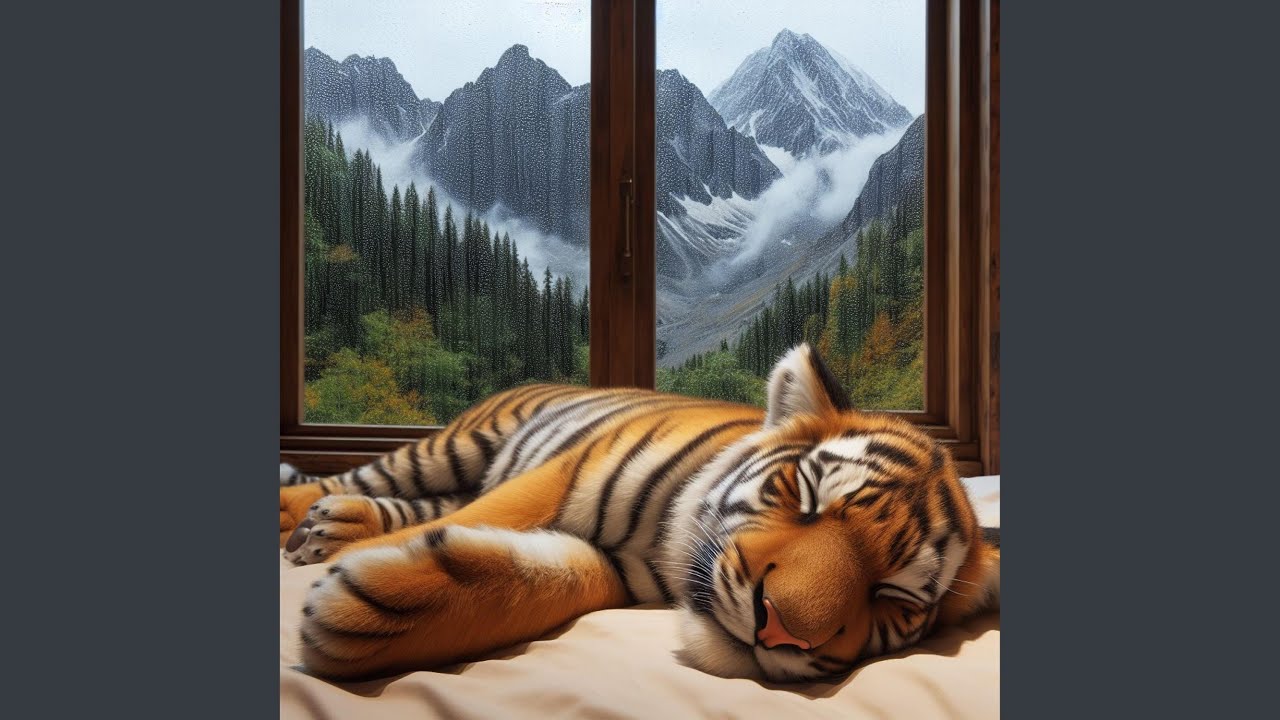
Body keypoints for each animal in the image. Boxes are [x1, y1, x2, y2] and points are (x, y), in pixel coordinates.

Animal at [280, 343, 1000, 682]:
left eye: (893, 598)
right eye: (806, 496)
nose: (778, 631)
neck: (659, 552)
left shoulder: (609, 570)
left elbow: (544, 578)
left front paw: (369, 612)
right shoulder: (558, 475)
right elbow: (491, 516)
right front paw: (343, 587)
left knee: (423, 501)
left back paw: (334, 527)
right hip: (459, 445)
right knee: (361, 479)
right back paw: (310, 522)